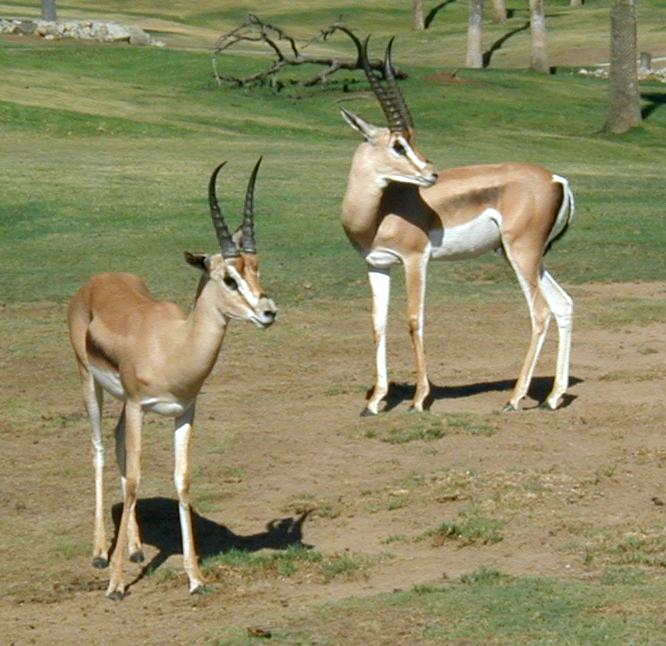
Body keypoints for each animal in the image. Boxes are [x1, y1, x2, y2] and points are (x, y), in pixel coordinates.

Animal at [67, 158, 277, 600]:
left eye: (256, 268)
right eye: (229, 278)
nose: (268, 312)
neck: (173, 346)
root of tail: (97, 280)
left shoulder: (184, 411)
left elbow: (181, 480)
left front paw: (195, 578)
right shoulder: (137, 406)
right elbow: (134, 481)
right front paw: (116, 586)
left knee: (117, 445)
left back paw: (133, 549)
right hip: (89, 382)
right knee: (99, 448)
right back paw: (100, 554)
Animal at [338, 30, 574, 416]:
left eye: (410, 140)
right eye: (399, 145)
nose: (431, 173)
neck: (378, 213)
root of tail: (557, 179)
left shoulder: (415, 260)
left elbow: (414, 320)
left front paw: (419, 399)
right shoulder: (377, 265)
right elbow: (377, 324)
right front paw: (374, 402)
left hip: (521, 254)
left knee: (540, 312)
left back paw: (514, 399)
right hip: (526, 256)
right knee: (564, 304)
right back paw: (552, 398)